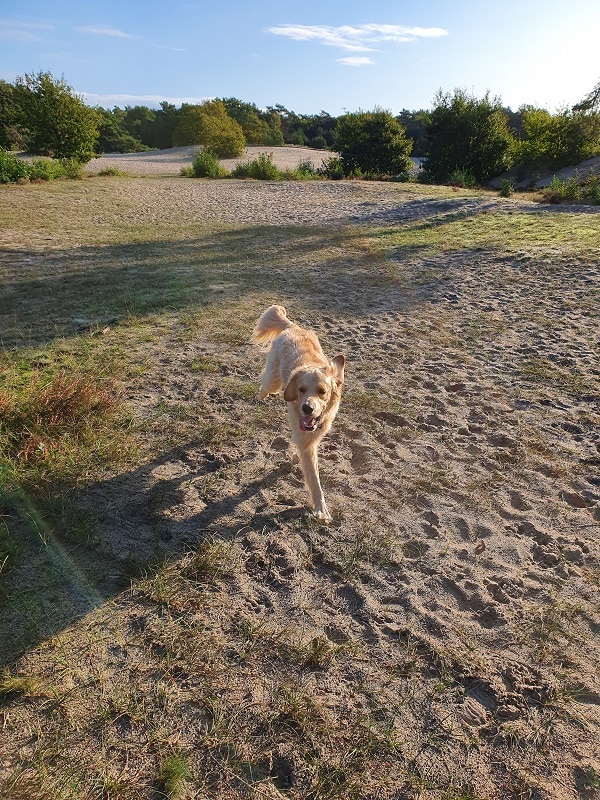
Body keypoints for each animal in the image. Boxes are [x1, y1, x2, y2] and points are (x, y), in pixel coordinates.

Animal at [253, 304, 346, 520]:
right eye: (301, 389)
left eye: (322, 391)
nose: (307, 408)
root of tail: (293, 327)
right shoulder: (306, 441)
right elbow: (314, 479)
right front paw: (321, 509)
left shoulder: (312, 436)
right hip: (273, 380)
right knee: (265, 384)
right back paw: (261, 394)